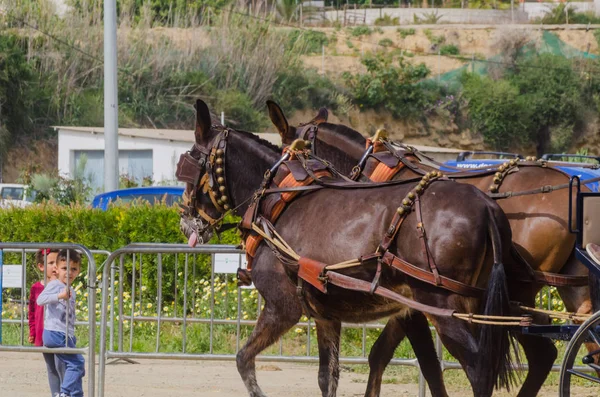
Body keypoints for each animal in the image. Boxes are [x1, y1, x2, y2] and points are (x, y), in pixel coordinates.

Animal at [182, 99, 524, 396]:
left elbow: (243, 360)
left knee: (480, 370)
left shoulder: (283, 308)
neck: (278, 199)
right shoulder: (326, 316)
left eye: (186, 166)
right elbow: (328, 377)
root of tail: (486, 206)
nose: (185, 221)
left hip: (445, 308)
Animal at [266, 101, 592, 396]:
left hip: (512, 295)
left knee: (540, 352)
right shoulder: (408, 298)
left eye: (285, 152)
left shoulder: (416, 298)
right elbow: (385, 353)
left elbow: (417, 359)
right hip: (563, 287)